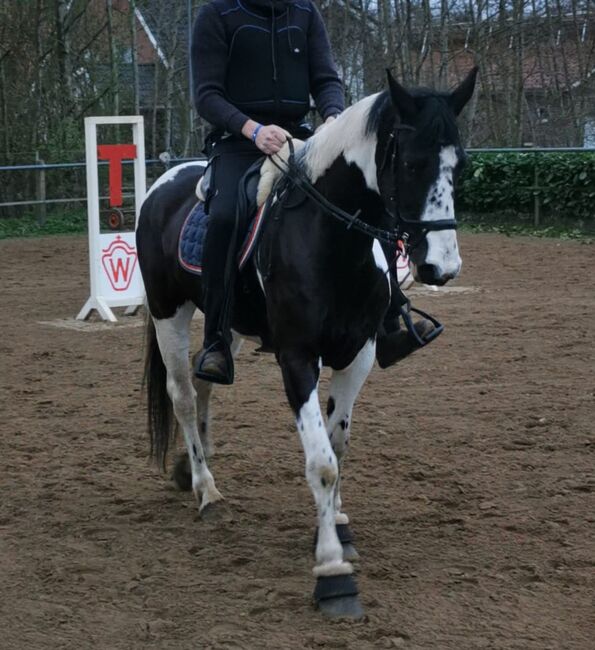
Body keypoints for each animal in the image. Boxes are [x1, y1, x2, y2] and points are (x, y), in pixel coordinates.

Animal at [137, 68, 478, 616]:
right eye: (413, 162)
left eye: (459, 165)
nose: (441, 268)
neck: (333, 241)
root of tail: (165, 184)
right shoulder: (297, 358)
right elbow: (321, 463)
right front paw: (333, 571)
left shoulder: (359, 354)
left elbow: (338, 447)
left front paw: (337, 524)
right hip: (170, 311)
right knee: (183, 395)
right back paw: (206, 490)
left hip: (225, 325)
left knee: (205, 375)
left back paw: (192, 468)